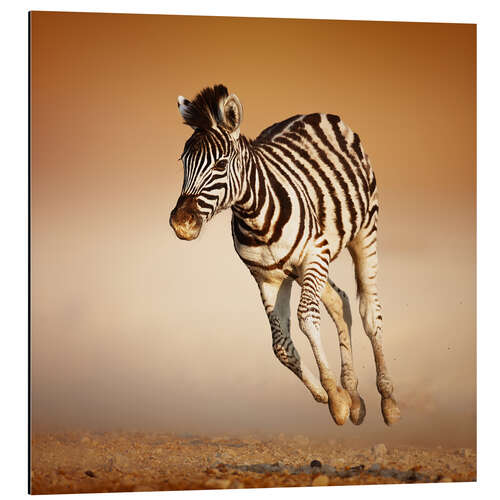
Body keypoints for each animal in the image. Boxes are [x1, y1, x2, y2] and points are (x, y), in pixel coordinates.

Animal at [170, 83, 400, 426]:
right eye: (182, 161)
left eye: (220, 165)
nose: (180, 223)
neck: (255, 216)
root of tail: (315, 113)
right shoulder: (267, 278)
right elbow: (281, 345)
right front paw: (331, 394)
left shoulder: (314, 254)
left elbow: (307, 318)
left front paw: (336, 400)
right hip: (304, 268)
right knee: (340, 301)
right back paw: (355, 395)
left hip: (362, 234)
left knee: (369, 312)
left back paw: (387, 399)